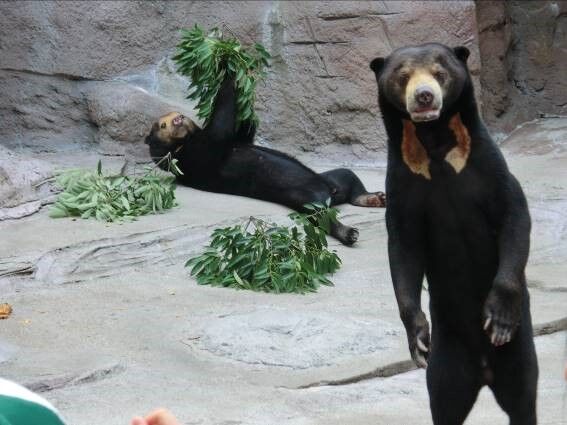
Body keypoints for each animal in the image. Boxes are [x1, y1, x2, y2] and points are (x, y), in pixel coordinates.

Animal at [144, 77, 388, 245]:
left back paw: (375, 198)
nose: (178, 118)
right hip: (302, 193)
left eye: (173, 117)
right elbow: (221, 126)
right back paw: (349, 232)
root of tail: (332, 193)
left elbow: (243, 133)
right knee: (318, 212)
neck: (184, 143)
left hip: (332, 179)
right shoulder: (197, 152)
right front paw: (227, 64)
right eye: (163, 125)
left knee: (348, 176)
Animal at [370, 44, 540, 424]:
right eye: (403, 75)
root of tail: (484, 372)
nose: (424, 96)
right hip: (447, 359)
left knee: (523, 392)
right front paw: (418, 338)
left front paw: (499, 319)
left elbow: (514, 216)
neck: (434, 144)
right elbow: (402, 248)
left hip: (519, 351)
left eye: (440, 72)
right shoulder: (403, 185)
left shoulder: (488, 168)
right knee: (443, 398)